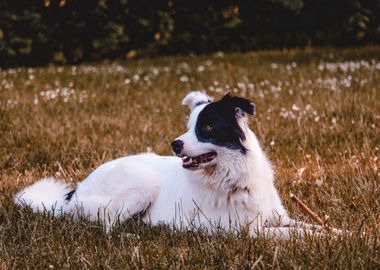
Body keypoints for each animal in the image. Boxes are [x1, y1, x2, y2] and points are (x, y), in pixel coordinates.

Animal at [14, 91, 332, 238]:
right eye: (189, 127)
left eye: (206, 128)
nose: (175, 144)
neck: (232, 179)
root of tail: (75, 191)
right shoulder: (244, 231)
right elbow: (295, 235)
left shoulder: (276, 217)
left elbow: (311, 227)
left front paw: (342, 234)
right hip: (141, 184)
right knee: (106, 225)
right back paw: (132, 235)